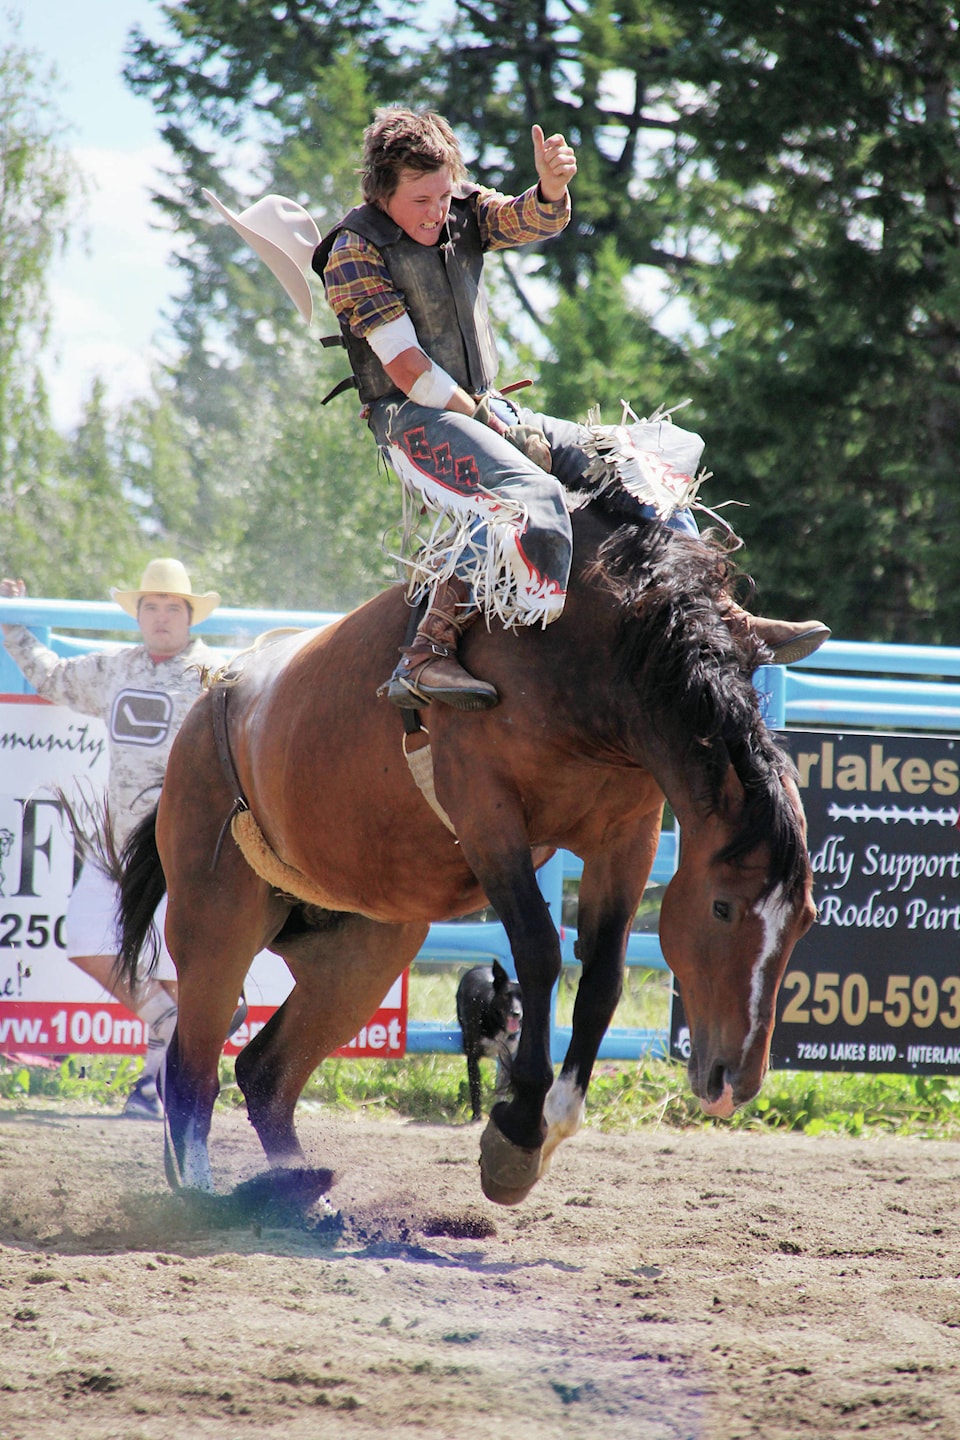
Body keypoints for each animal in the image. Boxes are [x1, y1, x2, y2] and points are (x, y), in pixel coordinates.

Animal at [457, 961, 526, 1117]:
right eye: (506, 995)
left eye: (522, 997)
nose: (516, 1013)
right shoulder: (472, 1056)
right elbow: (475, 1089)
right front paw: (476, 1117)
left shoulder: (507, 1057)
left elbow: (502, 1089)